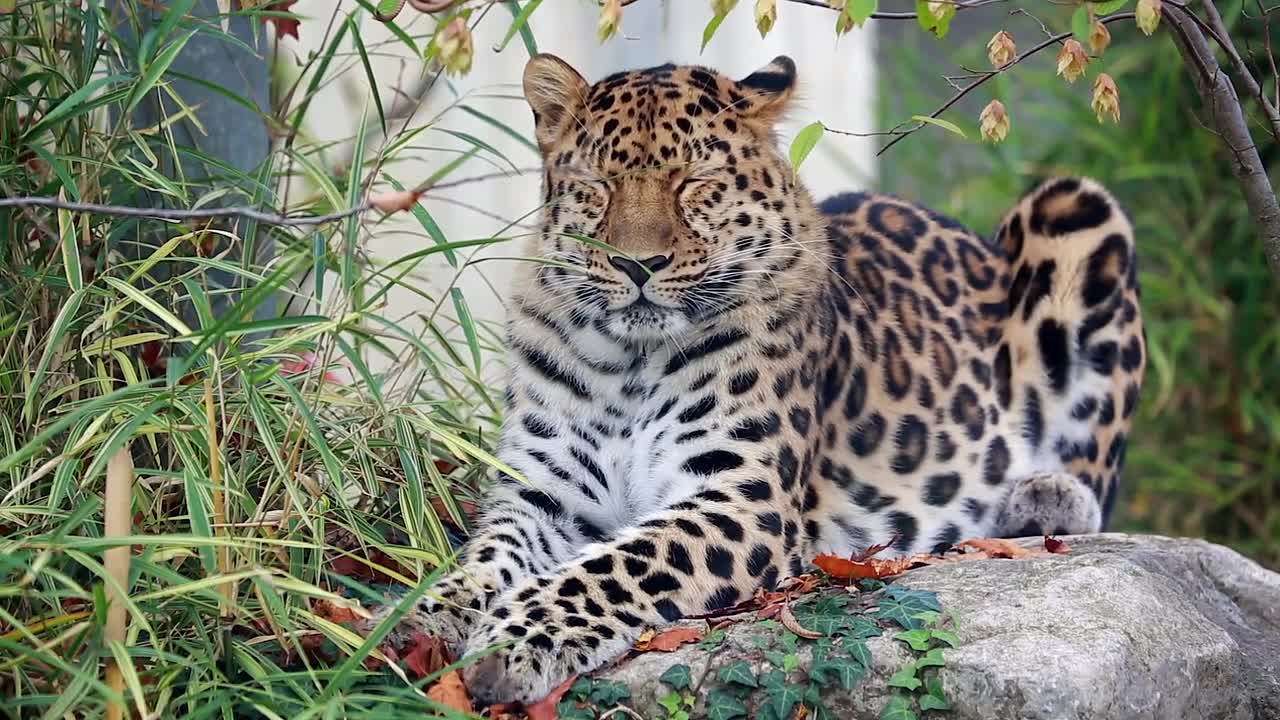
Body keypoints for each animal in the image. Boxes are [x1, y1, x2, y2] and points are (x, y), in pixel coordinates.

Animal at [363, 53, 1152, 702]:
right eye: (598, 186)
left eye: (694, 182)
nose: (637, 265)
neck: (631, 360)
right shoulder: (544, 492)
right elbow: (479, 562)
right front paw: (406, 621)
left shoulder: (742, 496)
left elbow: (613, 567)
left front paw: (515, 644)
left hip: (1078, 211)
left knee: (1097, 475)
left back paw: (1041, 498)